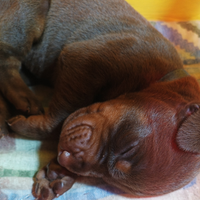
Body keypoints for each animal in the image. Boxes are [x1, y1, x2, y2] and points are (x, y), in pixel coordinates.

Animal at [1, 0, 200, 200]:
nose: (66, 158)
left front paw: (56, 174)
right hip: (29, 12)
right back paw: (24, 98)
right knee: (8, 58)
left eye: (106, 179)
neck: (155, 77)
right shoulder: (85, 61)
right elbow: (60, 118)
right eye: (128, 146)